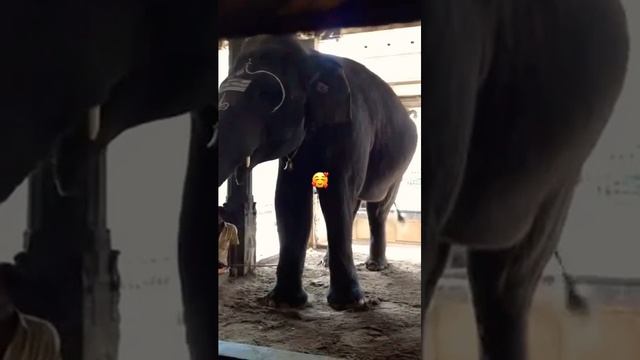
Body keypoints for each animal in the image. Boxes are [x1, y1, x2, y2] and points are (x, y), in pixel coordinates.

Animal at [212, 34, 418, 310]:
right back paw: (327, 263)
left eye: (266, 94)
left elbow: (335, 196)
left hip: (401, 164)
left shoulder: (353, 127)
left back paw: (375, 266)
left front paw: (349, 303)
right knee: (354, 206)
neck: (313, 59)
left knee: (377, 207)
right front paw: (283, 301)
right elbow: (289, 198)